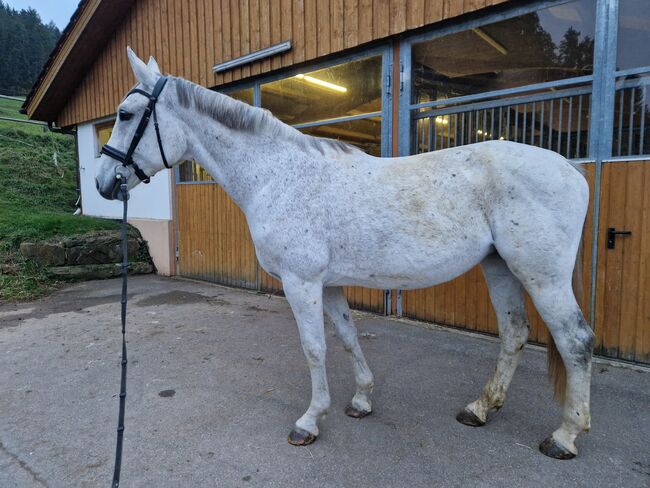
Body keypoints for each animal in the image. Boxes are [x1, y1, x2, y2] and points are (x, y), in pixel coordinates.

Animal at [95, 50, 592, 462]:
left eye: (125, 114)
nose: (102, 182)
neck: (279, 176)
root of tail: (569, 168)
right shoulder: (328, 283)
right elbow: (348, 337)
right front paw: (361, 400)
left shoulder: (301, 282)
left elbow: (314, 348)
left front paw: (309, 422)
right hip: (499, 266)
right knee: (514, 333)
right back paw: (480, 408)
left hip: (542, 276)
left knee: (576, 341)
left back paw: (565, 436)